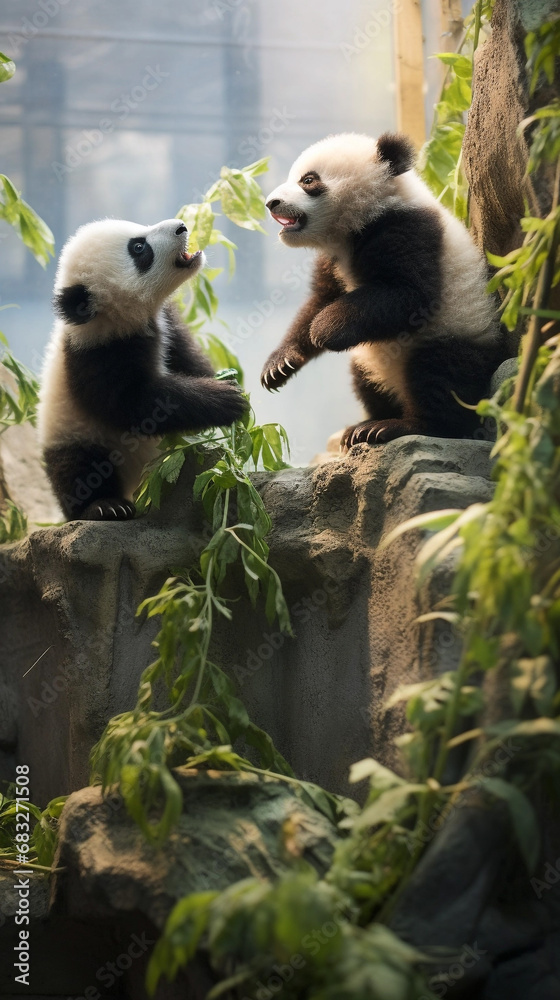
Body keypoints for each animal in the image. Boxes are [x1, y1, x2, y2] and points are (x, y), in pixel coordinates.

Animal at [37, 218, 247, 521]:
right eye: (138, 248)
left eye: (138, 228)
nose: (181, 226)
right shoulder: (95, 354)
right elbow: (134, 404)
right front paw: (226, 399)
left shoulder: (168, 324)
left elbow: (189, 360)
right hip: (73, 431)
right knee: (79, 468)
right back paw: (105, 506)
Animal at [261, 132, 509, 447]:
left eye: (308, 180)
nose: (272, 203)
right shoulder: (335, 259)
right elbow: (319, 300)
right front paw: (279, 365)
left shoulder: (409, 229)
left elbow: (411, 296)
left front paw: (325, 329)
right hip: (371, 358)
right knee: (365, 378)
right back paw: (364, 425)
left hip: (458, 335)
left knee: (440, 375)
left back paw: (401, 426)